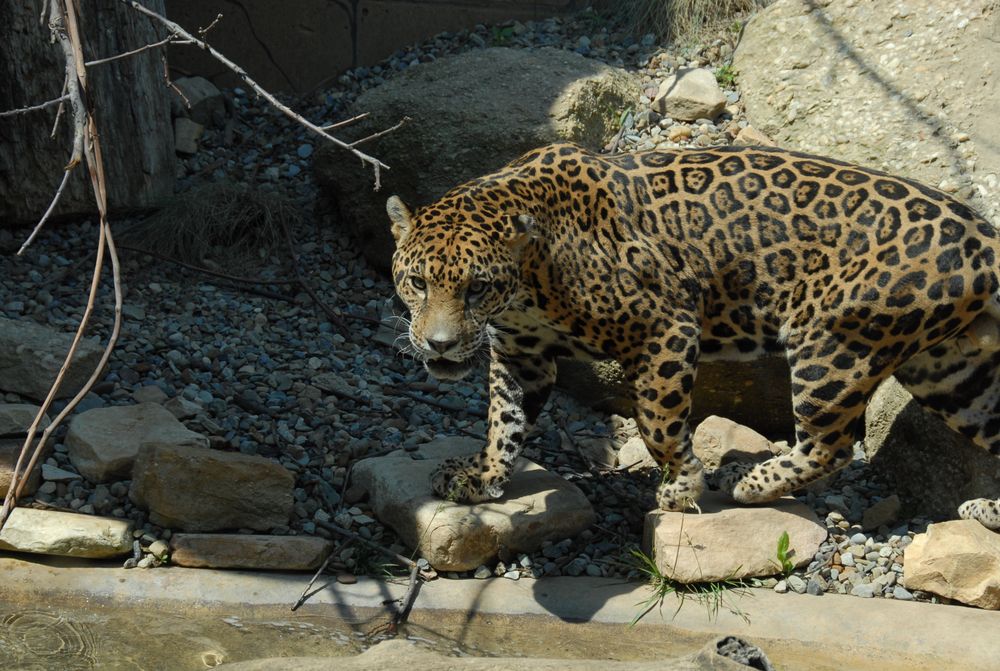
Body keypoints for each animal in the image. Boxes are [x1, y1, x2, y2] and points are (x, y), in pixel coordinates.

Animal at [386, 141, 1000, 531]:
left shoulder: (665, 327)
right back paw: (988, 514)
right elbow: (503, 420)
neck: (531, 275)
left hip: (834, 344)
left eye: (476, 288)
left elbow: (657, 423)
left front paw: (682, 487)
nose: (439, 345)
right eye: (418, 283)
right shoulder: (521, 353)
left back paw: (748, 481)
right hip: (951, 370)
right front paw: (482, 475)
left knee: (832, 444)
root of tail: (984, 233)